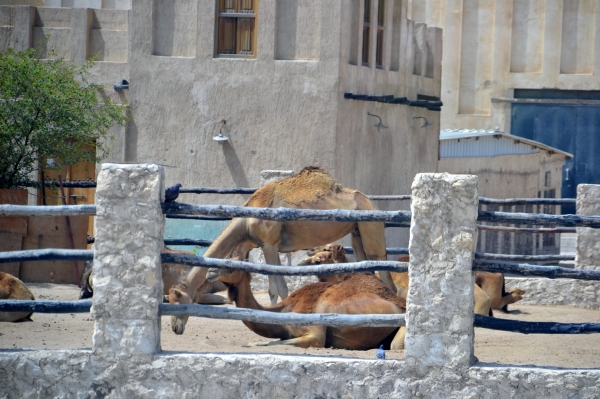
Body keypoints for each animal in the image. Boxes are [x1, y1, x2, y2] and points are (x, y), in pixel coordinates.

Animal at [166, 167, 396, 336]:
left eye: (180, 300)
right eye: (170, 300)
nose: (176, 328)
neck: (247, 219)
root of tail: (373, 205)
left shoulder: (268, 244)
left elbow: (276, 288)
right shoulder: (270, 245)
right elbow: (278, 287)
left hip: (371, 228)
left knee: (383, 267)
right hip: (357, 232)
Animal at [205, 262, 408, 350]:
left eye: (232, 265)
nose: (210, 271)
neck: (286, 309)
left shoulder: (315, 335)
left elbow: (276, 343)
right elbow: (269, 341)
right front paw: (250, 343)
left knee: (396, 345)